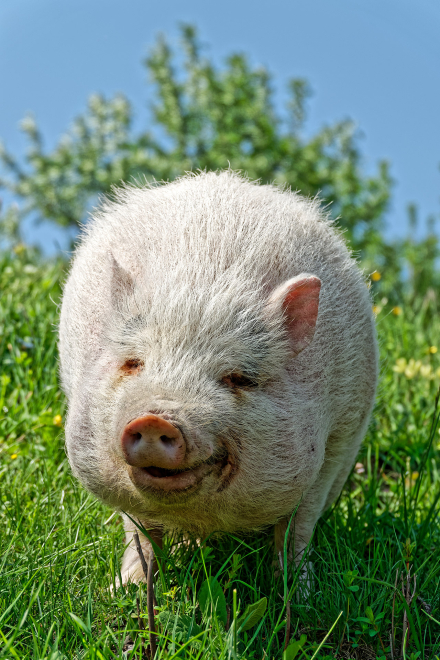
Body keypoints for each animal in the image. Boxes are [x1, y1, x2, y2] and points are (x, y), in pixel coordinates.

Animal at [59, 171, 378, 585]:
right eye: (132, 363)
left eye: (238, 378)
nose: (155, 419)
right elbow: (141, 532)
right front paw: (125, 589)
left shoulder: (335, 444)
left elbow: (297, 528)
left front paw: (298, 591)